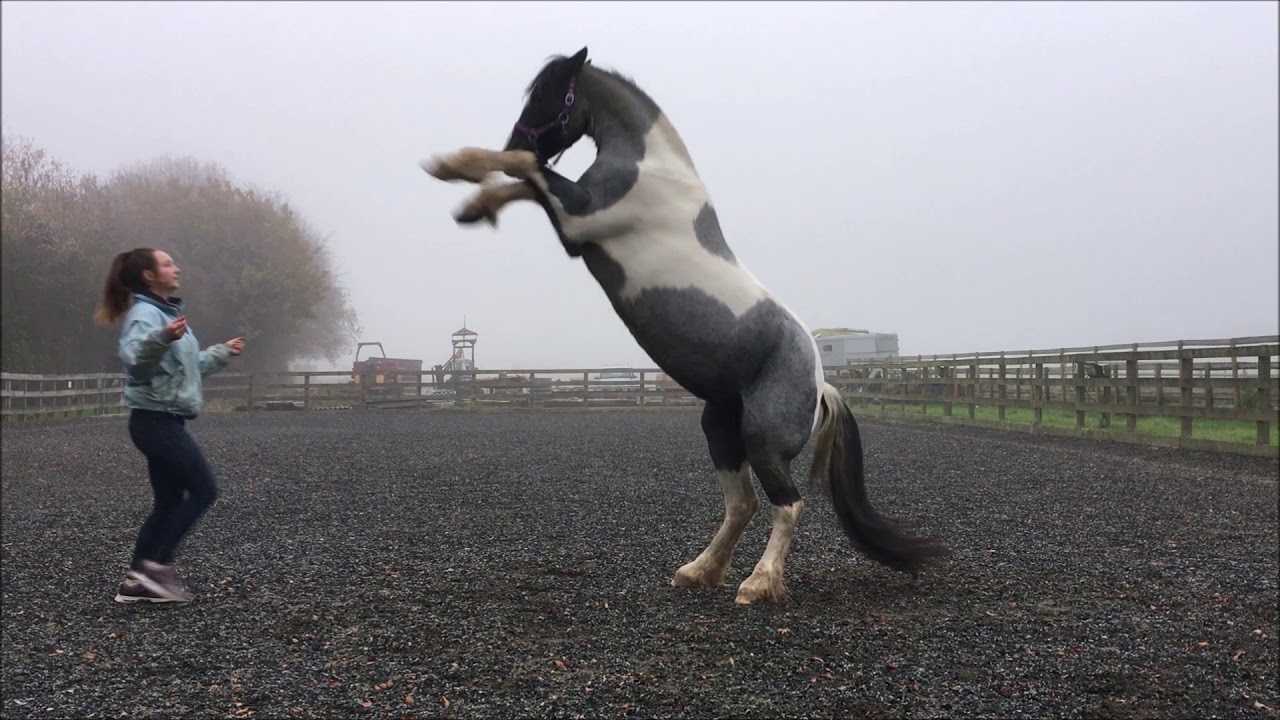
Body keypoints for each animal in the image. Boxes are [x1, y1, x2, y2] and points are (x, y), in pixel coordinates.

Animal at [421, 47, 947, 605]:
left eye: (548, 92)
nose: (515, 139)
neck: (650, 167)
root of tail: (822, 384)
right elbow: (525, 179)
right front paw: (473, 205)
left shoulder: (577, 219)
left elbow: (527, 172)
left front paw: (454, 167)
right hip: (719, 427)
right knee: (743, 505)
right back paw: (698, 571)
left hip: (762, 439)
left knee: (787, 505)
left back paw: (757, 584)